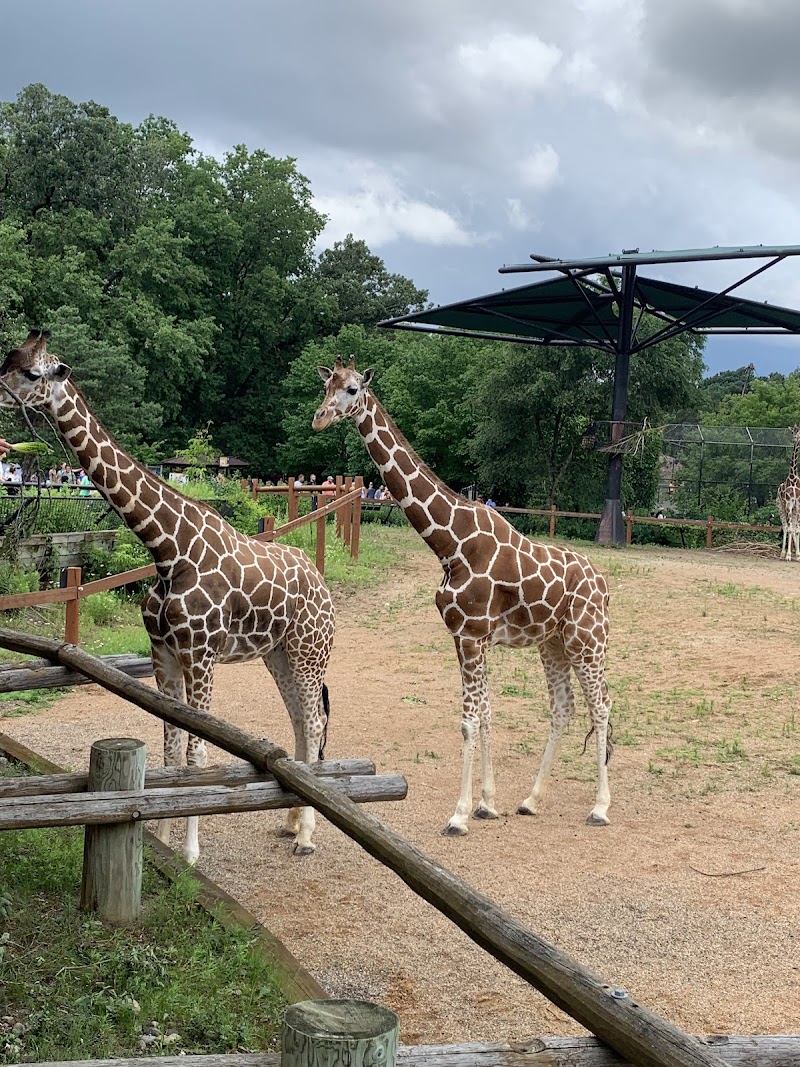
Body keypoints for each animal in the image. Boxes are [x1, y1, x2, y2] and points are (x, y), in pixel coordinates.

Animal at [0, 330, 335, 861]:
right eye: (6, 360)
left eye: (32, 373)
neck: (166, 549)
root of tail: (323, 585)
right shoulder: (163, 653)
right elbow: (171, 746)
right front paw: (160, 836)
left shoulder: (201, 654)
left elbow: (197, 750)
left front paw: (190, 852)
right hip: (278, 654)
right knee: (302, 724)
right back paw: (289, 824)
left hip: (309, 652)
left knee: (316, 723)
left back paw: (305, 836)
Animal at [312, 356, 612, 835]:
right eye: (326, 386)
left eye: (354, 389)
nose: (319, 418)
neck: (450, 544)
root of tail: (603, 586)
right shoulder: (466, 636)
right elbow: (486, 712)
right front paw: (488, 804)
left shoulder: (471, 635)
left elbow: (469, 721)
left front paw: (459, 814)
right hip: (554, 643)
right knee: (564, 707)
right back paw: (531, 800)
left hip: (588, 641)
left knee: (600, 706)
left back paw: (600, 808)